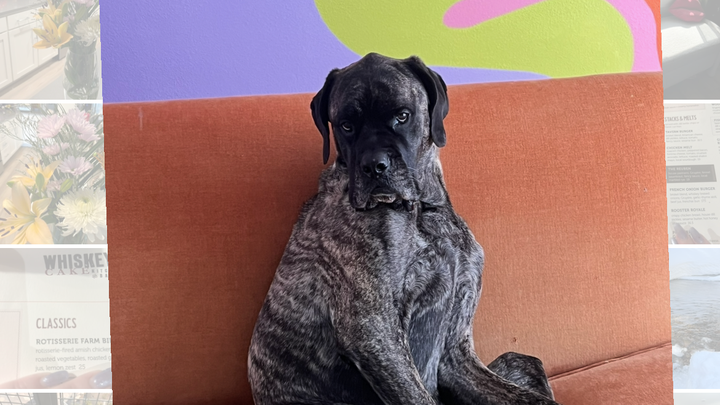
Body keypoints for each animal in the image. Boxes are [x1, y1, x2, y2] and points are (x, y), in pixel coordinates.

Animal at [248, 53, 559, 405]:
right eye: (346, 125)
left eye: (402, 116)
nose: (374, 166)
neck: (422, 211)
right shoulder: (374, 331)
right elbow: (417, 395)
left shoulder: (455, 350)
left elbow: (534, 398)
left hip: (514, 359)